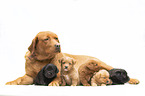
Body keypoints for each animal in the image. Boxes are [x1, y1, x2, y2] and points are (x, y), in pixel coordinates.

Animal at [5, 31, 139, 85]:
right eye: (46, 39)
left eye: (56, 38)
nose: (58, 45)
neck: (41, 60)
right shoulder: (29, 76)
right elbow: (20, 79)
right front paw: (11, 82)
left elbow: (57, 77)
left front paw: (54, 83)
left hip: (103, 64)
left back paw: (132, 79)